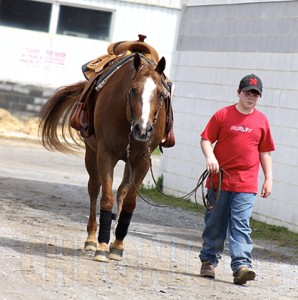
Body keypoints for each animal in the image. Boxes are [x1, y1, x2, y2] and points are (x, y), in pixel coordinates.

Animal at [38, 52, 171, 262]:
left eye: (160, 93)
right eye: (133, 90)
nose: (142, 129)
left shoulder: (142, 160)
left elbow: (130, 202)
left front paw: (117, 245)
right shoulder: (105, 154)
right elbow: (106, 198)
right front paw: (101, 245)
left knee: (122, 191)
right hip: (91, 154)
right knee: (94, 189)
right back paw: (92, 239)